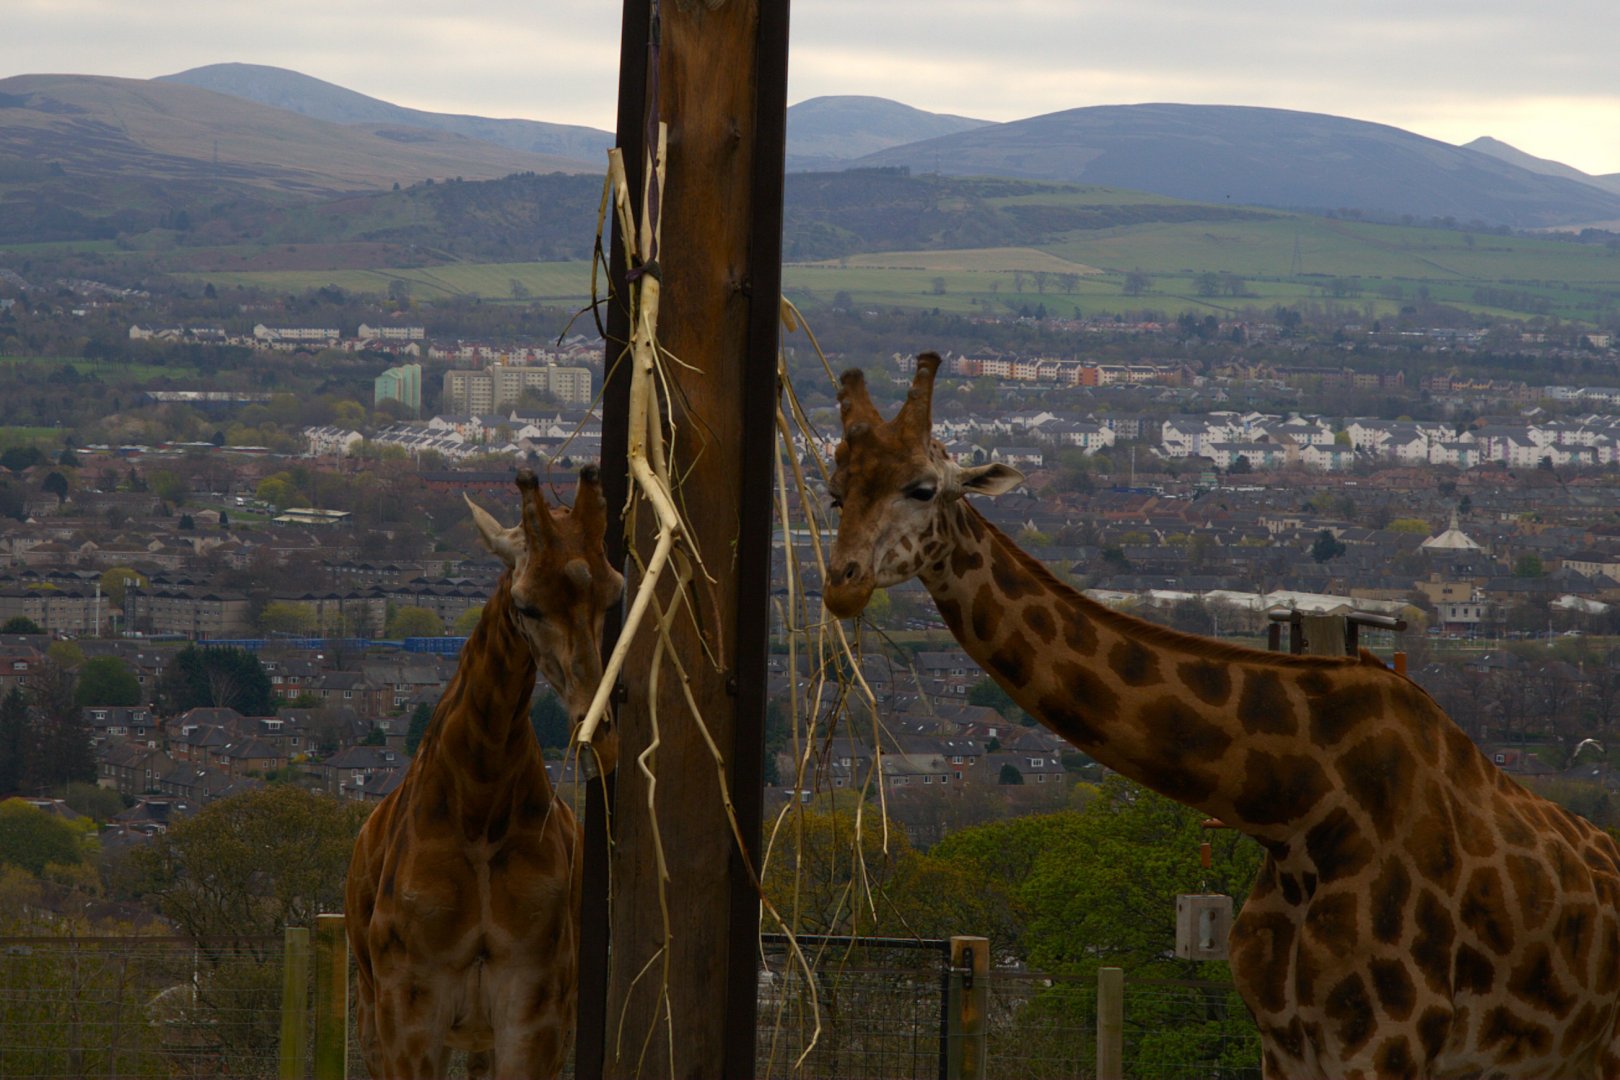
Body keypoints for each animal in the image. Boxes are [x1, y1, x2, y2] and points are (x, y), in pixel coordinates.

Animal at [344, 467, 623, 1080]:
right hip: (373, 1015)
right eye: (526, 605)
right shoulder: (408, 1010)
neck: (480, 812)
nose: (601, 738)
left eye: (614, 594)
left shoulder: (535, 1007)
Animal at [823, 353, 1620, 1078]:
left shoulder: (1387, 1047)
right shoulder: (1286, 1046)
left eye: (923, 488)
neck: (1298, 813)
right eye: (834, 495)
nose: (841, 582)